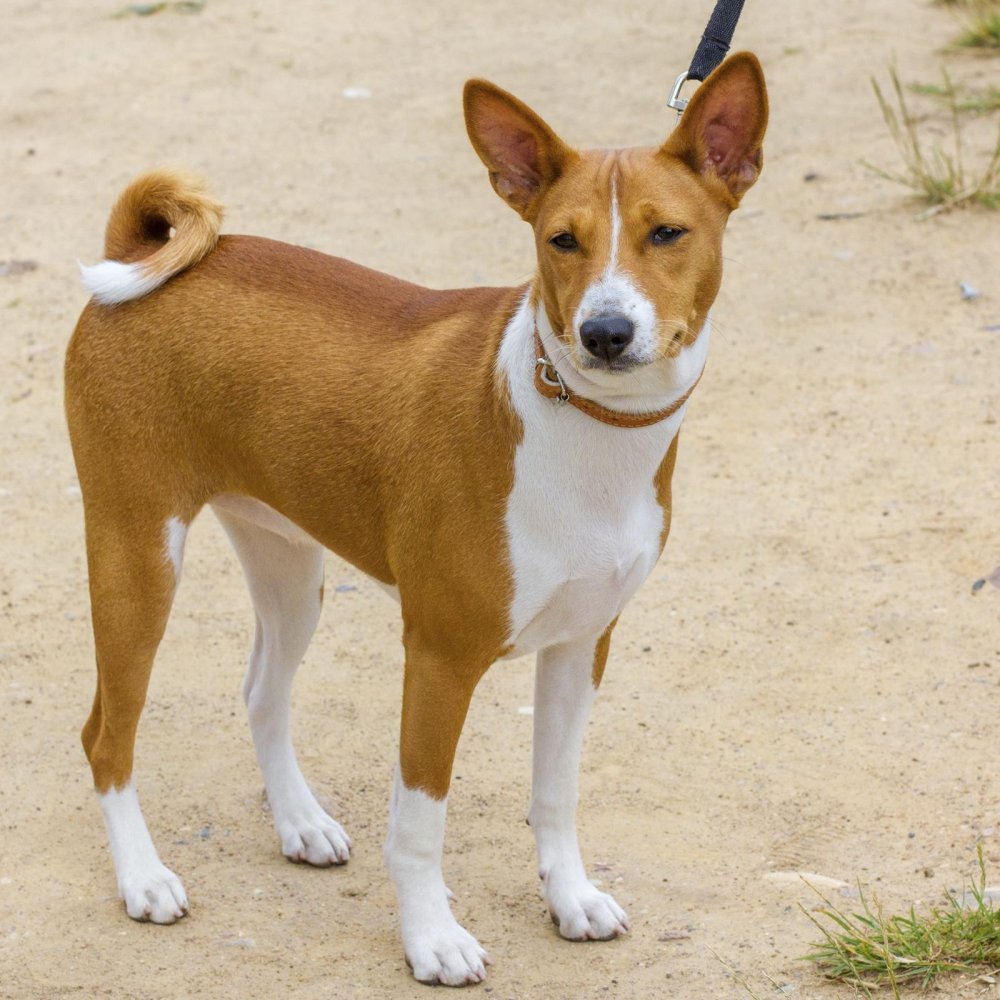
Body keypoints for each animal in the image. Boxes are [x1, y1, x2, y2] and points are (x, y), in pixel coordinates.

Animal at [66, 52, 768, 984]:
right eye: (562, 240)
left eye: (668, 234)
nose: (606, 331)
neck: (586, 432)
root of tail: (135, 252)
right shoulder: (439, 657)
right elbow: (421, 822)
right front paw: (432, 937)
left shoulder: (582, 645)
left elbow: (555, 793)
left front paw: (570, 898)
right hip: (136, 560)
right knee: (106, 737)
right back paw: (143, 878)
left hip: (288, 569)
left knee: (260, 693)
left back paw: (300, 823)